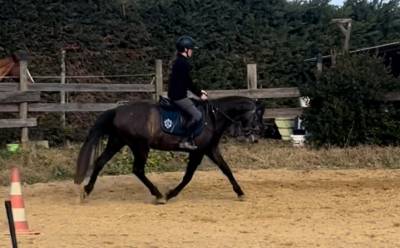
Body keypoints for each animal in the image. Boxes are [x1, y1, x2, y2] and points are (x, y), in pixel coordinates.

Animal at [75, 95, 266, 203]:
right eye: (257, 115)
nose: (256, 136)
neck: (213, 117)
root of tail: (117, 110)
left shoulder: (210, 149)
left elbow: (226, 170)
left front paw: (240, 193)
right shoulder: (197, 152)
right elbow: (188, 177)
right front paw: (170, 194)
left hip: (117, 141)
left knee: (100, 162)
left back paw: (86, 191)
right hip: (140, 146)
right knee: (138, 170)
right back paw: (159, 196)